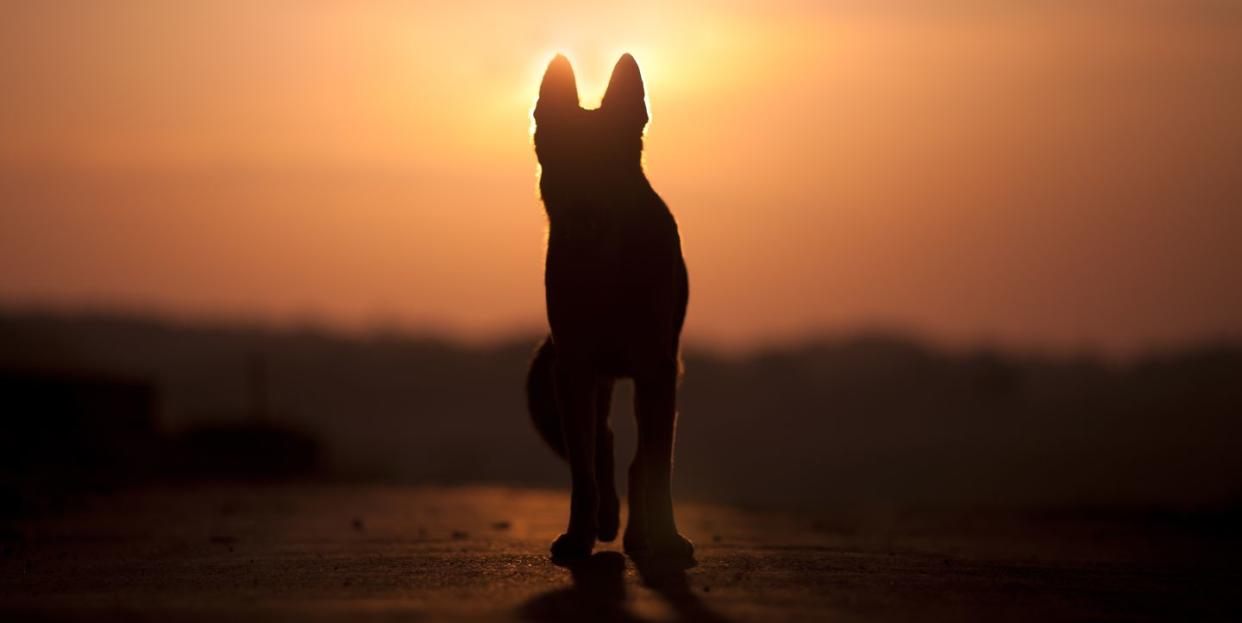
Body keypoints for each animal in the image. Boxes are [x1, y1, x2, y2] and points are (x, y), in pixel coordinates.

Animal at [526, 52, 695, 560]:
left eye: (609, 164)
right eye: (563, 162)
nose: (585, 215)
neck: (607, 267)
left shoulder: (657, 369)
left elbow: (656, 466)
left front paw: (667, 537)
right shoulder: (574, 369)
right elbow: (585, 470)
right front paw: (579, 535)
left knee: (638, 459)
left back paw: (641, 534)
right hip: (576, 385)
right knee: (603, 447)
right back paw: (606, 521)